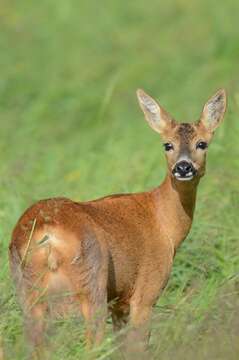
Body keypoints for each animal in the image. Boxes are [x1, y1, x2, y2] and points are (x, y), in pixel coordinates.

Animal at [8, 88, 226, 358]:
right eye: (168, 144)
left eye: (202, 143)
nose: (183, 167)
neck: (164, 223)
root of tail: (48, 236)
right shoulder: (145, 291)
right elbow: (138, 347)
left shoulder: (119, 301)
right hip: (91, 282)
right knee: (92, 344)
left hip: (27, 290)